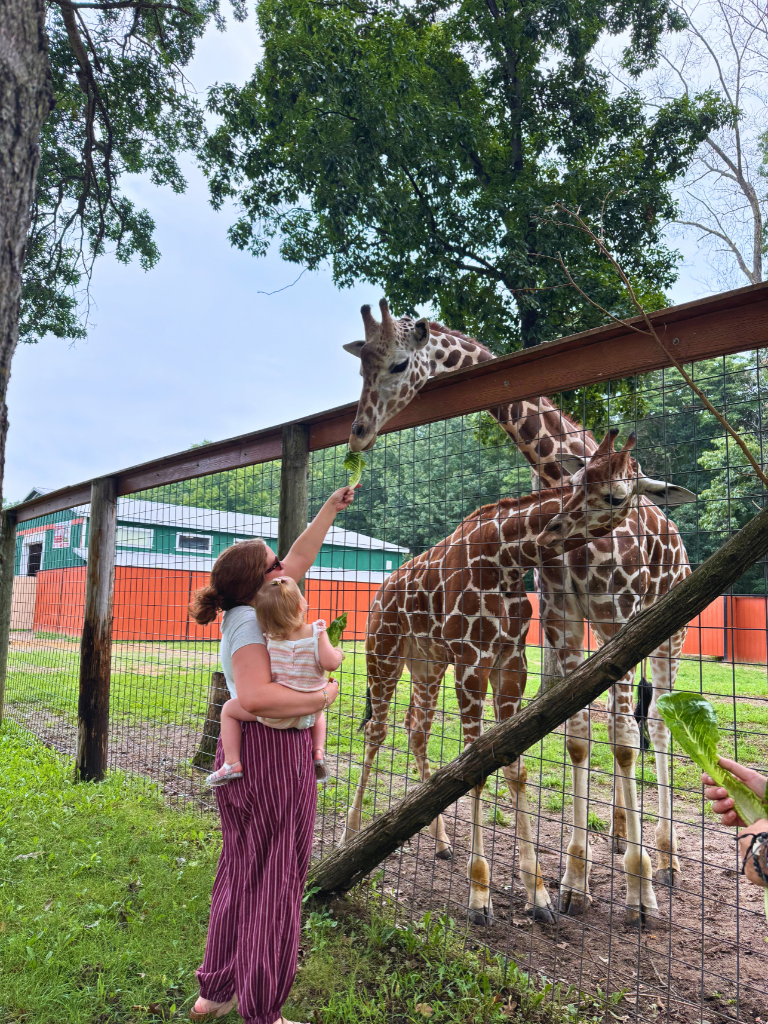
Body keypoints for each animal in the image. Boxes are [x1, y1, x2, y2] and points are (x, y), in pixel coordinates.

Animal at [343, 299, 696, 925]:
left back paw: (660, 857)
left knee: (651, 723)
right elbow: (565, 740)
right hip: (404, 656)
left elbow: (606, 743)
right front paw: (562, 882)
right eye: (362, 364)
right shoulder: (553, 623)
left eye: (399, 363)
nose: (358, 432)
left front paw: (630, 889)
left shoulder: (610, 619)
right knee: (389, 729)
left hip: (664, 634)